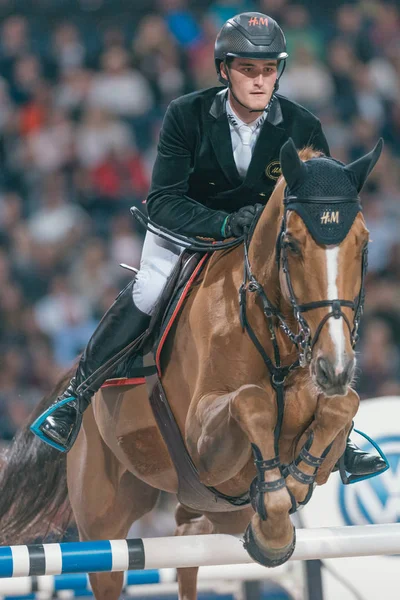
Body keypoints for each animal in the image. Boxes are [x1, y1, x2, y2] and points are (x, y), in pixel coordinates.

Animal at [0, 139, 382, 600]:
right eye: (291, 244)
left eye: (363, 244)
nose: (335, 367)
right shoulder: (204, 445)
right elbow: (252, 402)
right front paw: (275, 523)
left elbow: (341, 409)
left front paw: (286, 494)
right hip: (104, 512)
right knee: (112, 567)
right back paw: (64, 416)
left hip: (215, 508)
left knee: (189, 539)